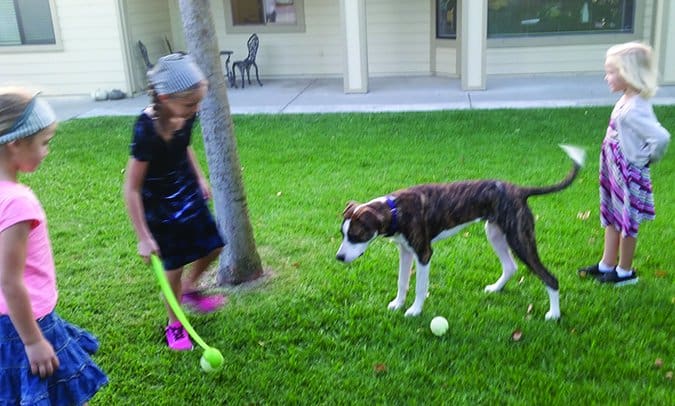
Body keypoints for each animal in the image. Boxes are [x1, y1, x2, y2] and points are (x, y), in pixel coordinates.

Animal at [336, 145, 588, 320]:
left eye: (356, 235)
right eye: (342, 234)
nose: (339, 257)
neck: (395, 209)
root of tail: (518, 190)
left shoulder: (423, 254)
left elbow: (420, 287)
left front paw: (414, 311)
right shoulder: (405, 251)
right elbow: (402, 282)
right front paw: (398, 304)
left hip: (520, 239)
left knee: (550, 278)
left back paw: (554, 314)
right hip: (494, 233)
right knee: (510, 266)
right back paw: (496, 288)